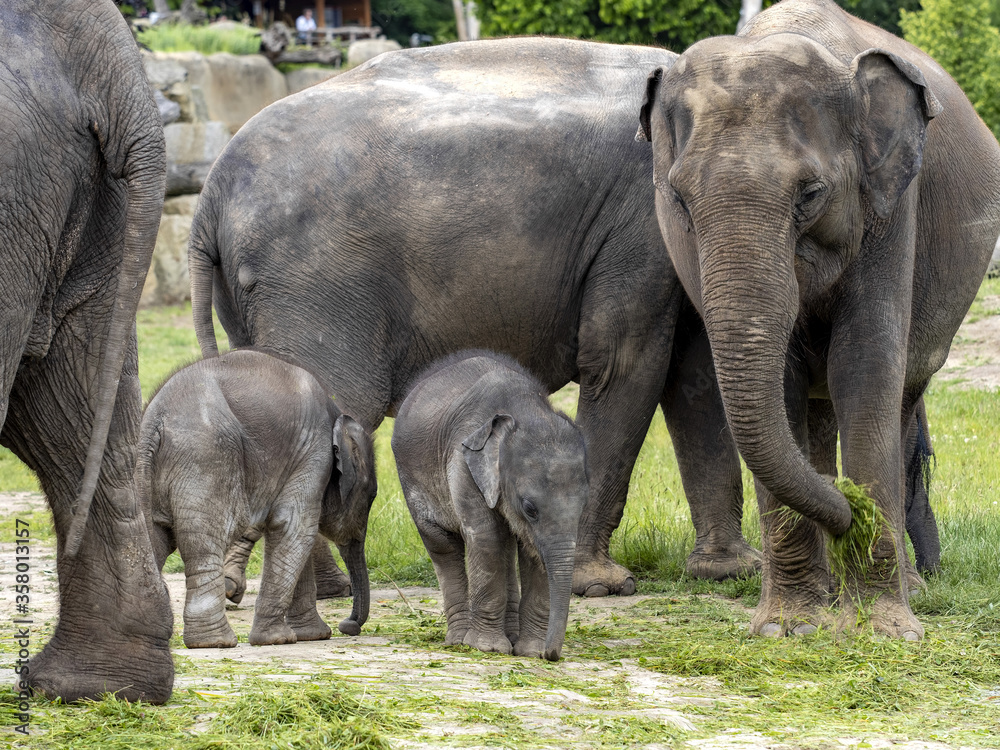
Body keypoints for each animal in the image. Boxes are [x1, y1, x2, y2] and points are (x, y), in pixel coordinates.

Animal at [138, 350, 376, 647]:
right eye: (371, 498)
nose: (349, 625)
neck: (338, 417)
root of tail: (154, 423)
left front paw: (313, 636)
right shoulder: (314, 453)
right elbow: (294, 528)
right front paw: (277, 639)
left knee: (155, 540)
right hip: (206, 460)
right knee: (208, 541)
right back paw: (216, 642)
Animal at [189, 36, 764, 598]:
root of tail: (209, 195)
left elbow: (692, 372)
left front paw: (731, 572)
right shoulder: (640, 225)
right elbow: (625, 363)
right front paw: (599, 585)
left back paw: (308, 588)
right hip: (315, 281)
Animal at [392, 351, 588, 660]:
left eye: (583, 506)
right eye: (530, 508)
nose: (551, 654)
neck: (527, 410)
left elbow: (532, 551)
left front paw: (530, 652)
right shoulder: (462, 465)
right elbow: (486, 538)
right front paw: (488, 648)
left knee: (506, 547)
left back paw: (508, 638)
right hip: (410, 478)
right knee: (444, 547)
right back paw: (458, 641)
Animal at [638, 0, 1000, 638]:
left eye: (810, 194)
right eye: (679, 200)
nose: (848, 503)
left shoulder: (891, 206)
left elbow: (864, 361)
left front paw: (884, 629)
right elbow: (780, 382)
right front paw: (788, 628)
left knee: (898, 399)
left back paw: (908, 585)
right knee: (817, 408)